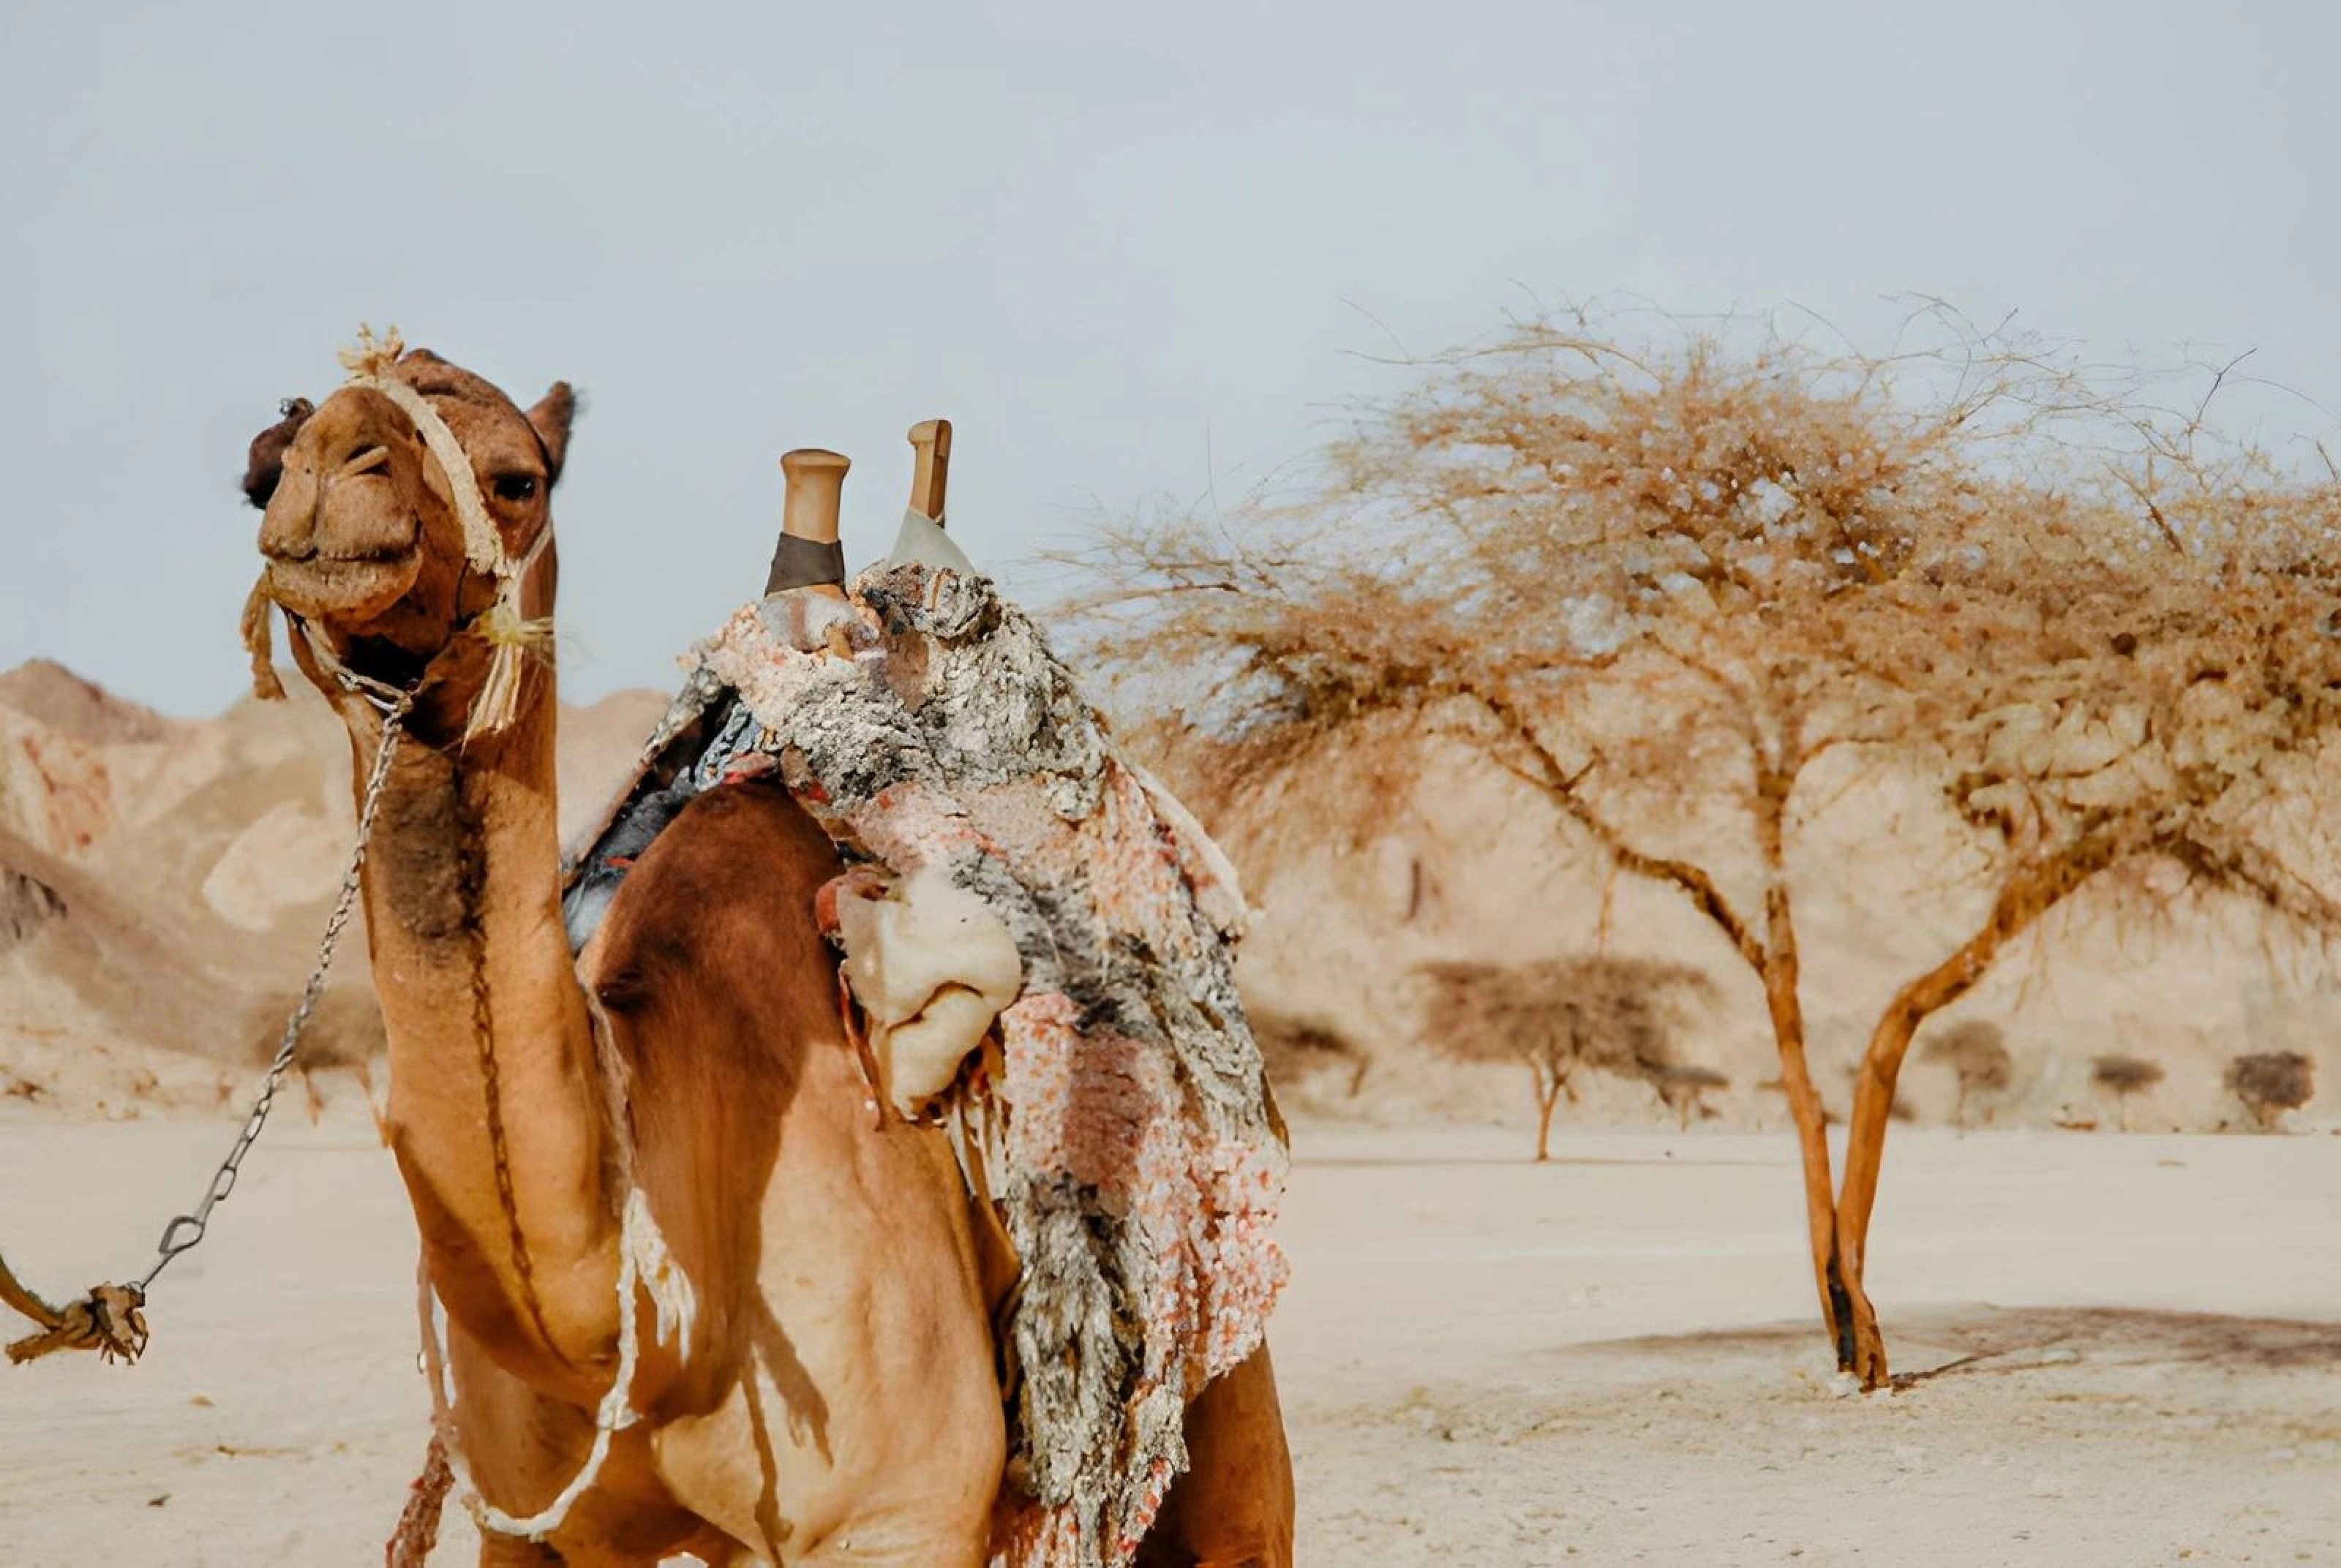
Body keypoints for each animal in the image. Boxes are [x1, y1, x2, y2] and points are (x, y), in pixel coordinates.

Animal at [242, 341, 1293, 1566]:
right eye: (263, 470)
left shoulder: (896, 1518)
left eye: (517, 479)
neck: (647, 1330)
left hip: (1219, 1405)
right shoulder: (538, 1531)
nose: (334, 469)